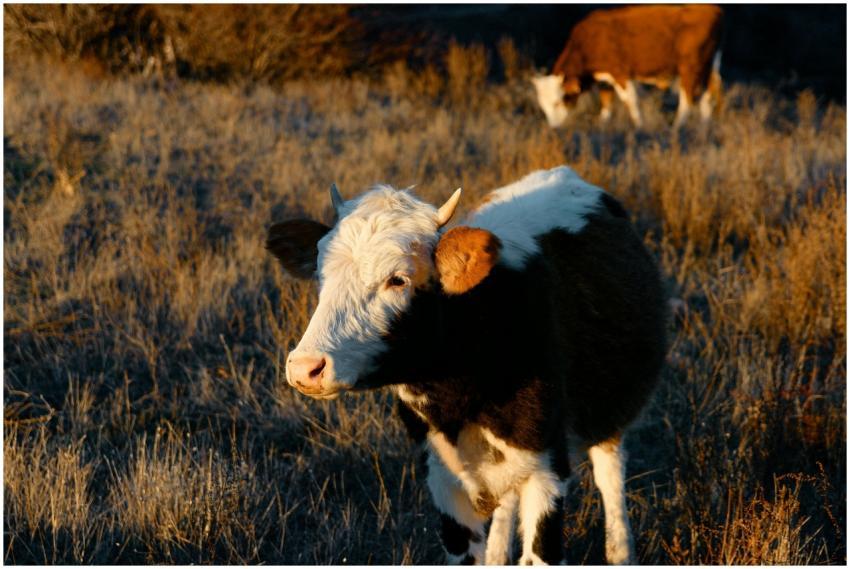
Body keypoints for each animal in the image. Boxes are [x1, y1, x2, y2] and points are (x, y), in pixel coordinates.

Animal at [266, 166, 668, 565]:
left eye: (397, 279)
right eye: (321, 274)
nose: (306, 368)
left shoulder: (548, 470)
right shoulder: (443, 478)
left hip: (610, 410)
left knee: (610, 475)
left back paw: (620, 552)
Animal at [532, 5, 724, 128]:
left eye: (558, 102)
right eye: (543, 106)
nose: (554, 127)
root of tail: (713, 9)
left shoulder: (620, 73)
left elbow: (631, 101)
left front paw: (639, 127)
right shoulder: (605, 80)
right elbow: (607, 105)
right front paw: (603, 124)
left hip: (690, 68)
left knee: (687, 100)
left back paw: (677, 128)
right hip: (709, 67)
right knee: (708, 97)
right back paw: (705, 126)